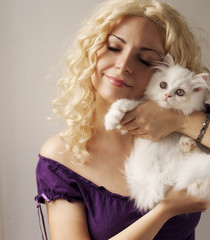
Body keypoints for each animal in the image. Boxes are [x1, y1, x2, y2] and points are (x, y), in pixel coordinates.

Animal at [104, 53, 210, 211]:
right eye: (163, 85)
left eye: (180, 92)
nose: (167, 95)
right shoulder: (132, 122)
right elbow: (127, 103)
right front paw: (111, 119)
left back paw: (188, 144)